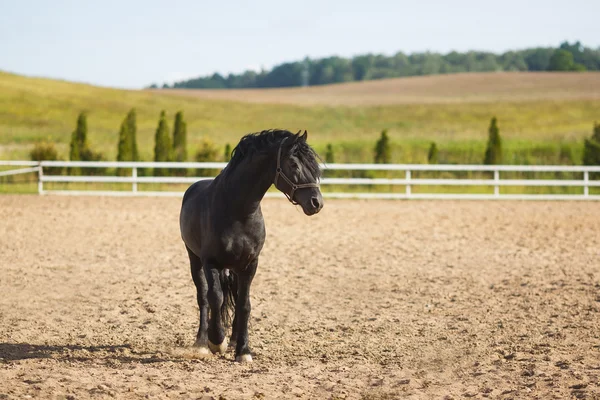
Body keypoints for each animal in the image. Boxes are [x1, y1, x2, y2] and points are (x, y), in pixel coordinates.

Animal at [179, 129, 324, 362]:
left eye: (313, 165)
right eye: (293, 164)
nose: (316, 202)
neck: (237, 211)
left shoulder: (249, 264)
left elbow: (244, 304)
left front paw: (243, 350)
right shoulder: (210, 262)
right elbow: (215, 298)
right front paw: (216, 341)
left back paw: (233, 341)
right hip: (194, 260)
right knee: (203, 297)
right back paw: (202, 342)